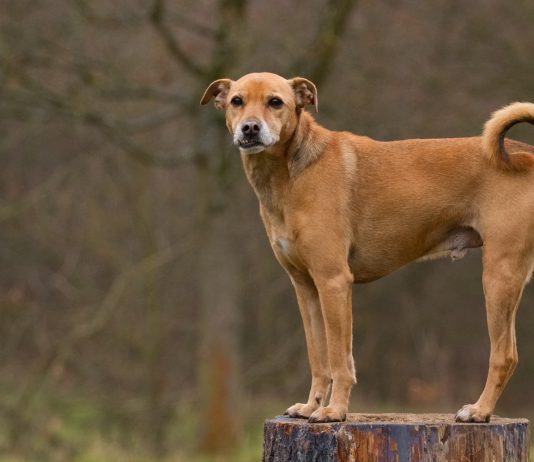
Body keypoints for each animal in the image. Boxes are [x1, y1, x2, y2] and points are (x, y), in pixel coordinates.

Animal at [202, 71, 534, 422]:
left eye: (275, 102)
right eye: (237, 101)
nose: (250, 128)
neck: (291, 173)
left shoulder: (334, 282)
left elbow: (339, 359)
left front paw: (334, 410)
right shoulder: (306, 287)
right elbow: (318, 357)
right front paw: (311, 406)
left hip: (499, 276)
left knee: (504, 355)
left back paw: (480, 410)